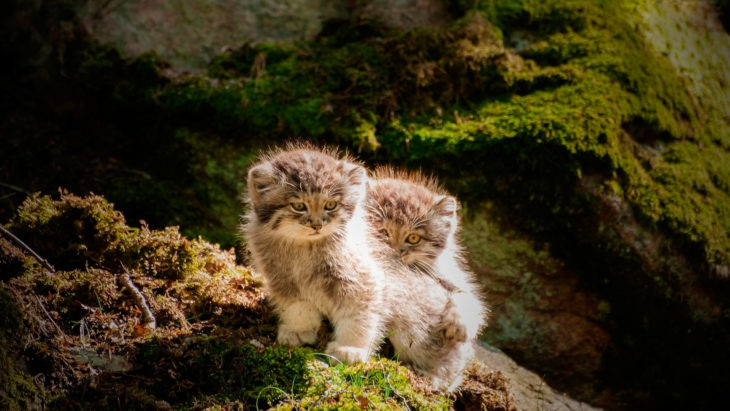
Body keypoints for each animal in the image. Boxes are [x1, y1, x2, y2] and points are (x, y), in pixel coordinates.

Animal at [242, 144, 386, 364]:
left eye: (330, 205)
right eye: (299, 206)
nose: (317, 225)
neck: (305, 251)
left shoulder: (360, 278)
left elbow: (359, 314)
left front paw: (350, 347)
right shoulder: (284, 279)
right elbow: (298, 307)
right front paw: (298, 329)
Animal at [366, 168, 486, 392]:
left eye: (413, 238)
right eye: (383, 231)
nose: (396, 252)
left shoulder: (451, 276)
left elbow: (469, 299)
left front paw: (459, 324)